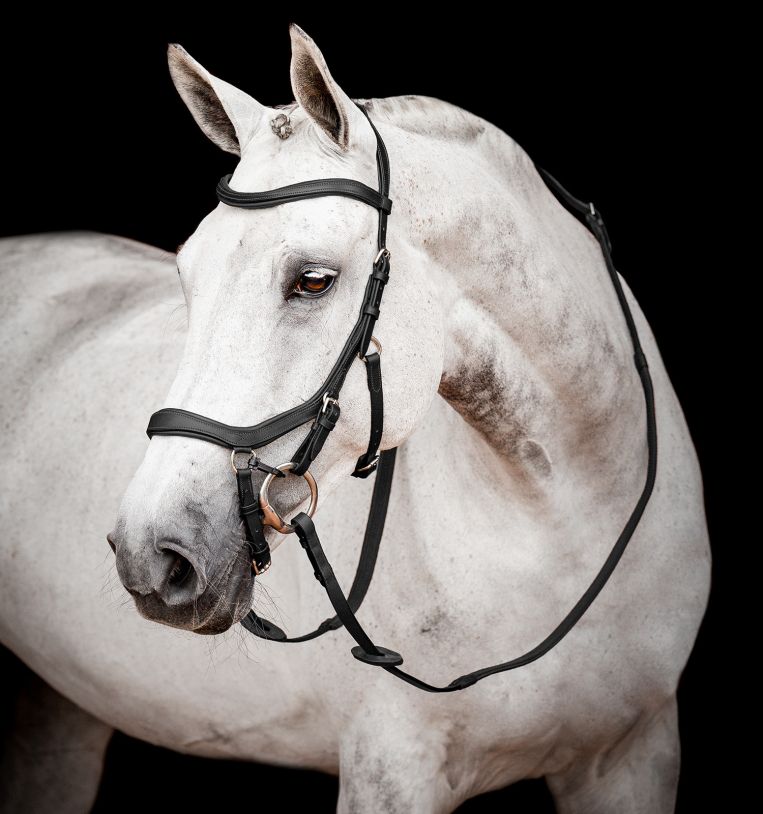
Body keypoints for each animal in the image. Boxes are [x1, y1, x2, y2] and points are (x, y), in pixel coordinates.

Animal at [0, 24, 710, 813]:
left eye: (313, 280)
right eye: (187, 273)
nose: (151, 555)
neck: (560, 525)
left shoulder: (634, 754)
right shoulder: (392, 769)